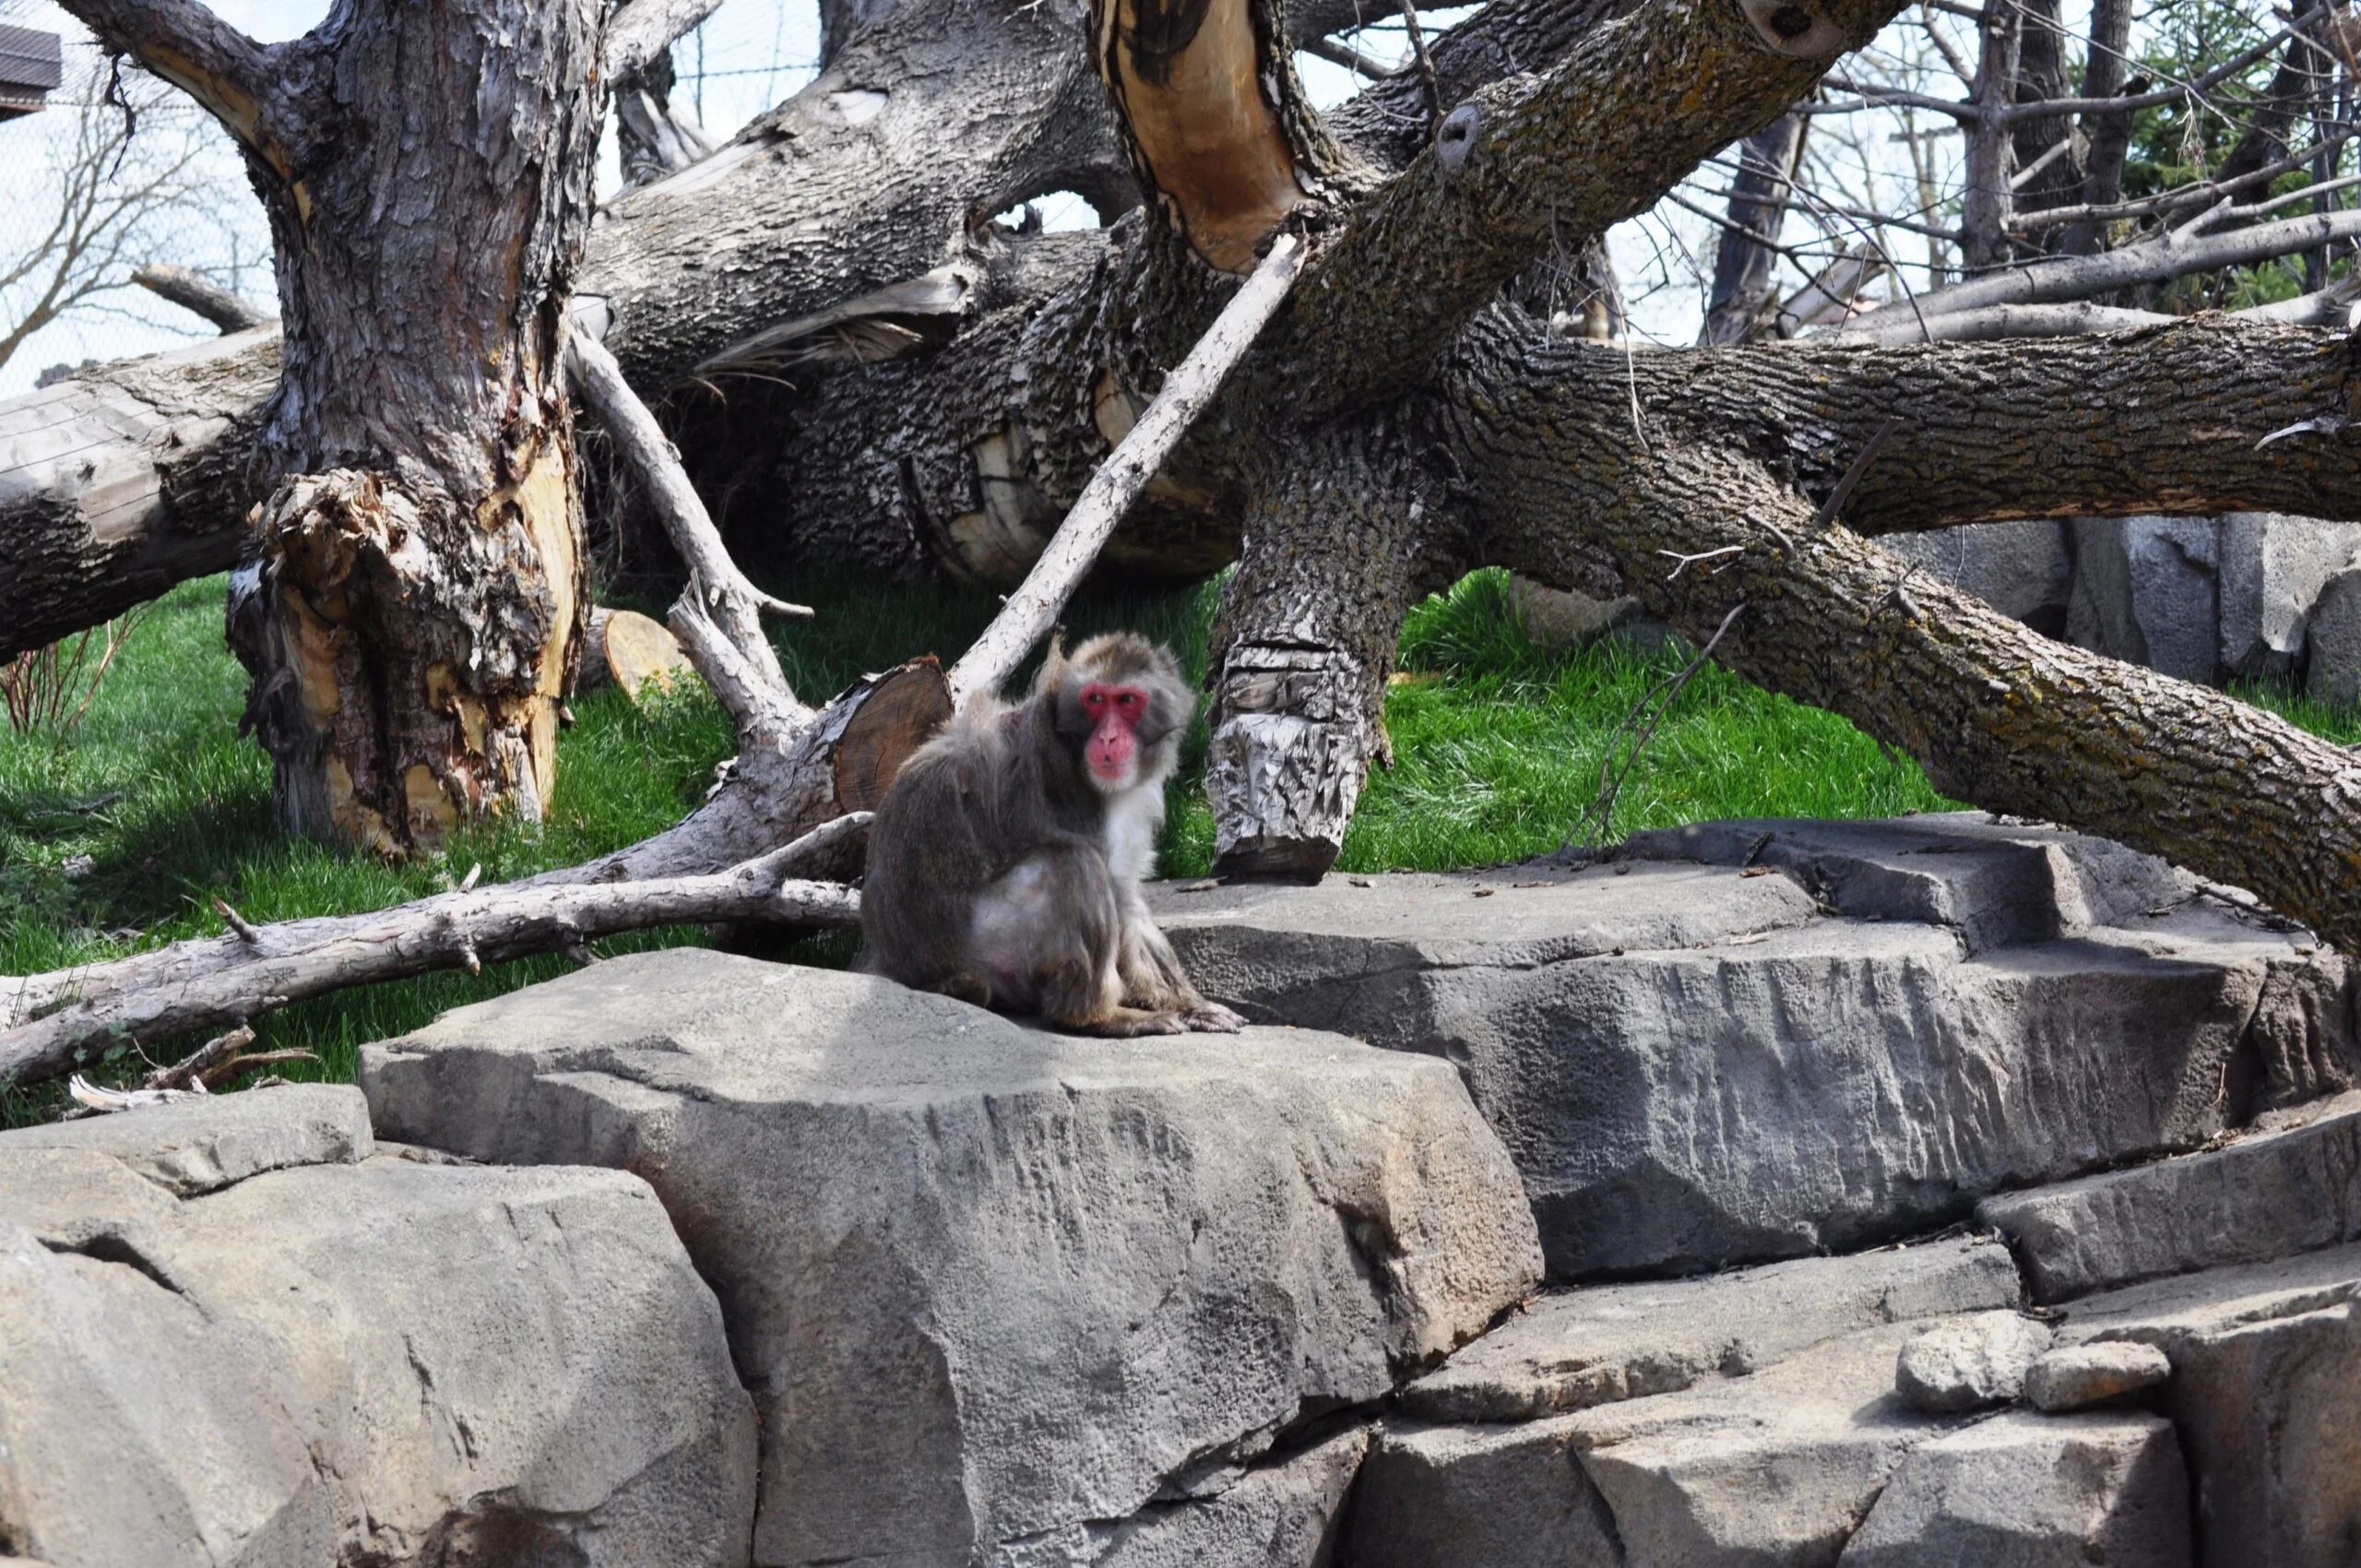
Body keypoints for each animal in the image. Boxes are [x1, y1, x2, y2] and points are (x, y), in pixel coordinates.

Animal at [858, 632, 1247, 1037]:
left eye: (1126, 700)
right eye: (1095, 699)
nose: (1109, 739)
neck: (1068, 739)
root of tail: (900, 965)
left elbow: (1128, 896)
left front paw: (1192, 1004)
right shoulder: (1075, 795)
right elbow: (1113, 891)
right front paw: (1156, 1003)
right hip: (985, 944)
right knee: (1074, 862)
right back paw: (1095, 1015)